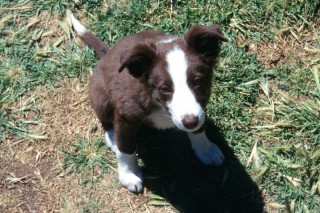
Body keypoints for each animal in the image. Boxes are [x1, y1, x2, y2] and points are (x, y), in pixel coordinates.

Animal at [71, 14, 229, 192]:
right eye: (165, 89)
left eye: (198, 81)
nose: (189, 122)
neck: (158, 103)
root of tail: (106, 54)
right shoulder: (126, 115)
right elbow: (126, 147)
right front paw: (128, 174)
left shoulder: (199, 109)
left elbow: (199, 129)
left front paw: (206, 149)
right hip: (101, 99)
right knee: (106, 121)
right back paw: (112, 138)